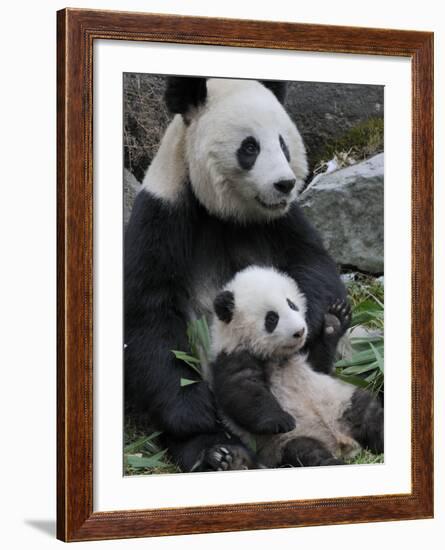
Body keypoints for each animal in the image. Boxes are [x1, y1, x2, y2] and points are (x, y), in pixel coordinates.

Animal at [125, 76, 346, 474]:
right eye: (250, 147)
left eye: (283, 143)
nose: (284, 184)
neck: (225, 212)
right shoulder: (163, 213)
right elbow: (149, 313)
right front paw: (195, 415)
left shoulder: (282, 220)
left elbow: (313, 263)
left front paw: (313, 323)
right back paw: (221, 454)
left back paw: (331, 333)